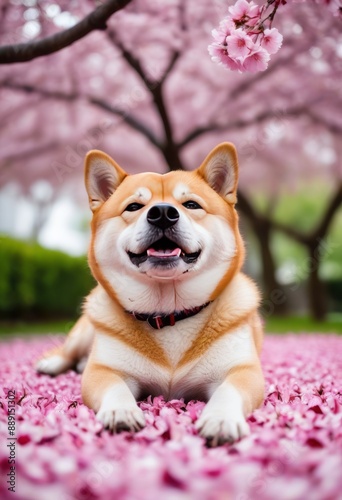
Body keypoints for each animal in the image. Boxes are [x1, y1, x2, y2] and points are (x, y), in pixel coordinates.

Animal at [38, 142, 268, 446]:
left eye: (191, 204)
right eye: (134, 206)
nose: (162, 213)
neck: (169, 314)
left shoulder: (242, 370)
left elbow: (228, 391)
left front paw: (221, 418)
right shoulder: (104, 371)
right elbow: (114, 386)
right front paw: (121, 411)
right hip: (85, 331)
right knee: (68, 352)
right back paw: (53, 363)